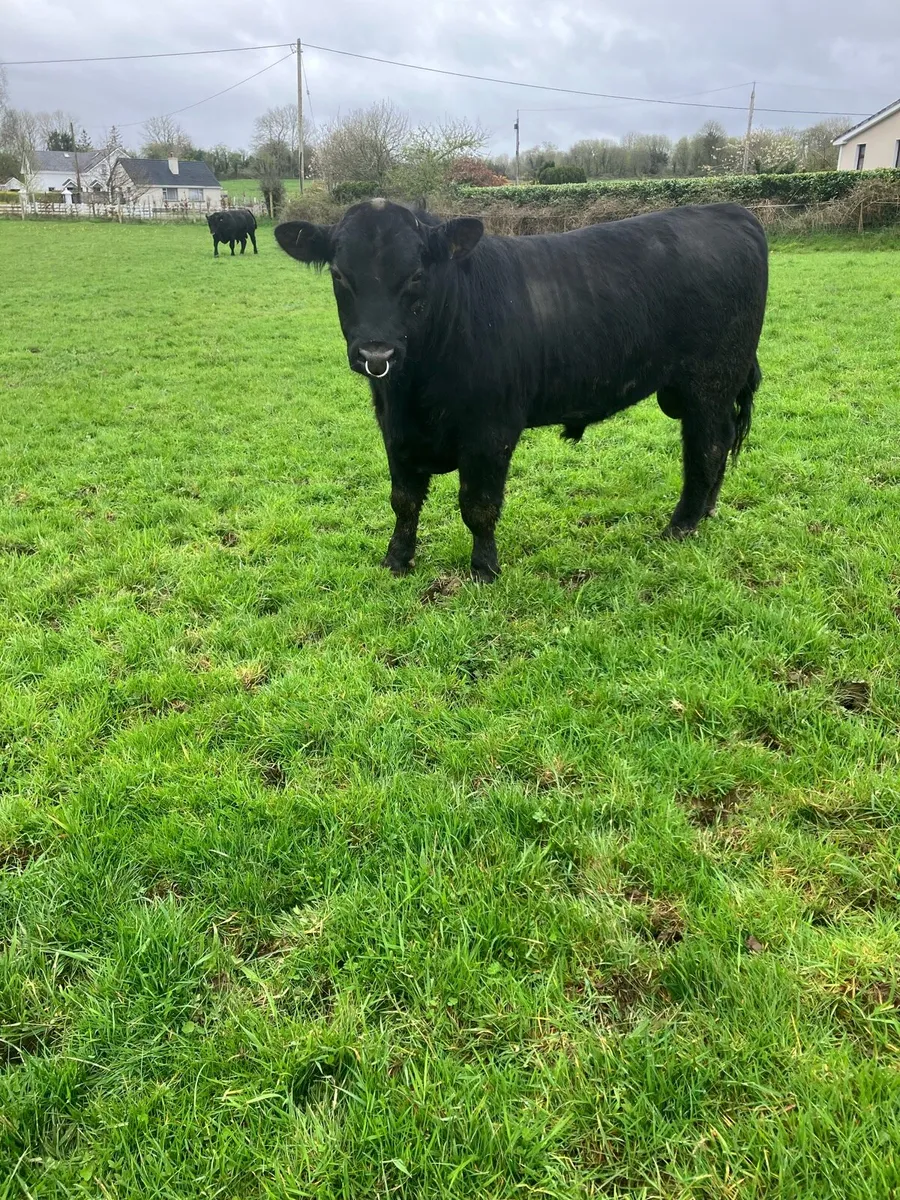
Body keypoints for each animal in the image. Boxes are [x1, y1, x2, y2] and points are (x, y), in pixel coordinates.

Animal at [274, 199, 768, 582]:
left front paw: (484, 569)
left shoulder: (490, 431)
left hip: (710, 382)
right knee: (719, 443)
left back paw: (681, 526)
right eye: (339, 274)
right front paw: (397, 560)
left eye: (415, 275)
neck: (416, 389)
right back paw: (706, 511)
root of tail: (730, 210)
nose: (376, 353)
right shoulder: (395, 430)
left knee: (706, 446)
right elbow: (404, 502)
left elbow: (478, 505)